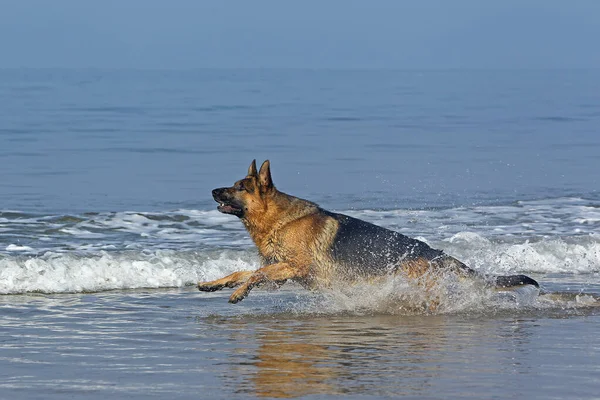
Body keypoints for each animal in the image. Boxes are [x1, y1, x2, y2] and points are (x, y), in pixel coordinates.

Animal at [198, 161, 540, 304]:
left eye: (239, 187)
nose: (212, 190)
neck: (280, 220)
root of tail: (436, 253)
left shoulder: (295, 267)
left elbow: (255, 274)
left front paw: (238, 293)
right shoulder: (281, 271)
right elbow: (242, 271)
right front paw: (215, 284)